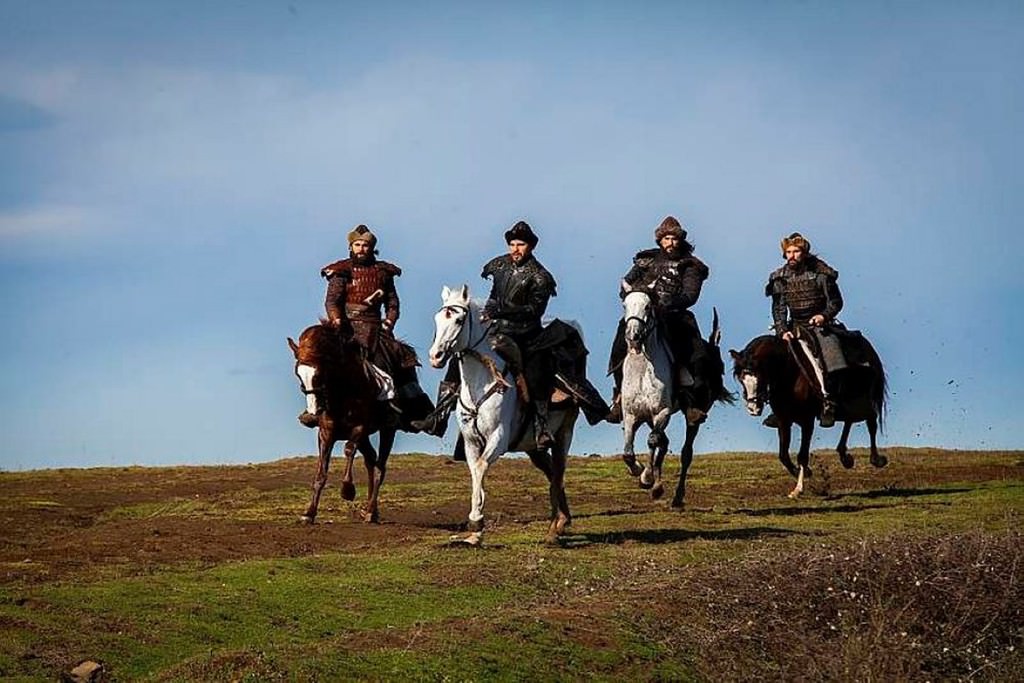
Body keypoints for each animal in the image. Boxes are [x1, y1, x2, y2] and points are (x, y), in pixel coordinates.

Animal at [288, 322, 398, 524]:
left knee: (380, 467)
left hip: (388, 431)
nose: (314, 411)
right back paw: (371, 510)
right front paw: (309, 513)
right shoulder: (325, 433)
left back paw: (371, 511)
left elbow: (348, 450)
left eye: (319, 373)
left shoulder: (359, 428)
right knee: (371, 460)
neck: (342, 392)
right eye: (298, 374)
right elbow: (321, 473)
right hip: (365, 438)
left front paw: (348, 490)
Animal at [426, 284, 580, 546]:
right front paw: (475, 533)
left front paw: (476, 520)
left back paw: (556, 526)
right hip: (533, 447)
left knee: (558, 472)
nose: (435, 356)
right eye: (438, 319)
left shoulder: (498, 438)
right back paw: (561, 519)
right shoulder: (471, 441)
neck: (483, 381)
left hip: (563, 434)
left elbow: (480, 467)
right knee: (551, 472)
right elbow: (474, 470)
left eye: (458, 320)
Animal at [618, 287, 728, 508]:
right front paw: (640, 472)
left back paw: (677, 496)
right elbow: (628, 453)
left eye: (648, 306)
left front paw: (647, 478)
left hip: (693, 416)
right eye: (625, 305)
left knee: (686, 453)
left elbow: (652, 442)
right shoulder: (631, 415)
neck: (643, 369)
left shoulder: (662, 412)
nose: (633, 336)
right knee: (664, 443)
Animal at [730, 333, 888, 498]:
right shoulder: (783, 420)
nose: (753, 408)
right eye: (741, 379)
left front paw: (798, 489)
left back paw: (876, 459)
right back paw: (845, 457)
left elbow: (802, 455)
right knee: (850, 421)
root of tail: (868, 347)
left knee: (871, 421)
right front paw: (804, 472)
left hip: (863, 399)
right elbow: (783, 455)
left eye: (760, 376)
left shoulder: (807, 421)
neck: (789, 373)